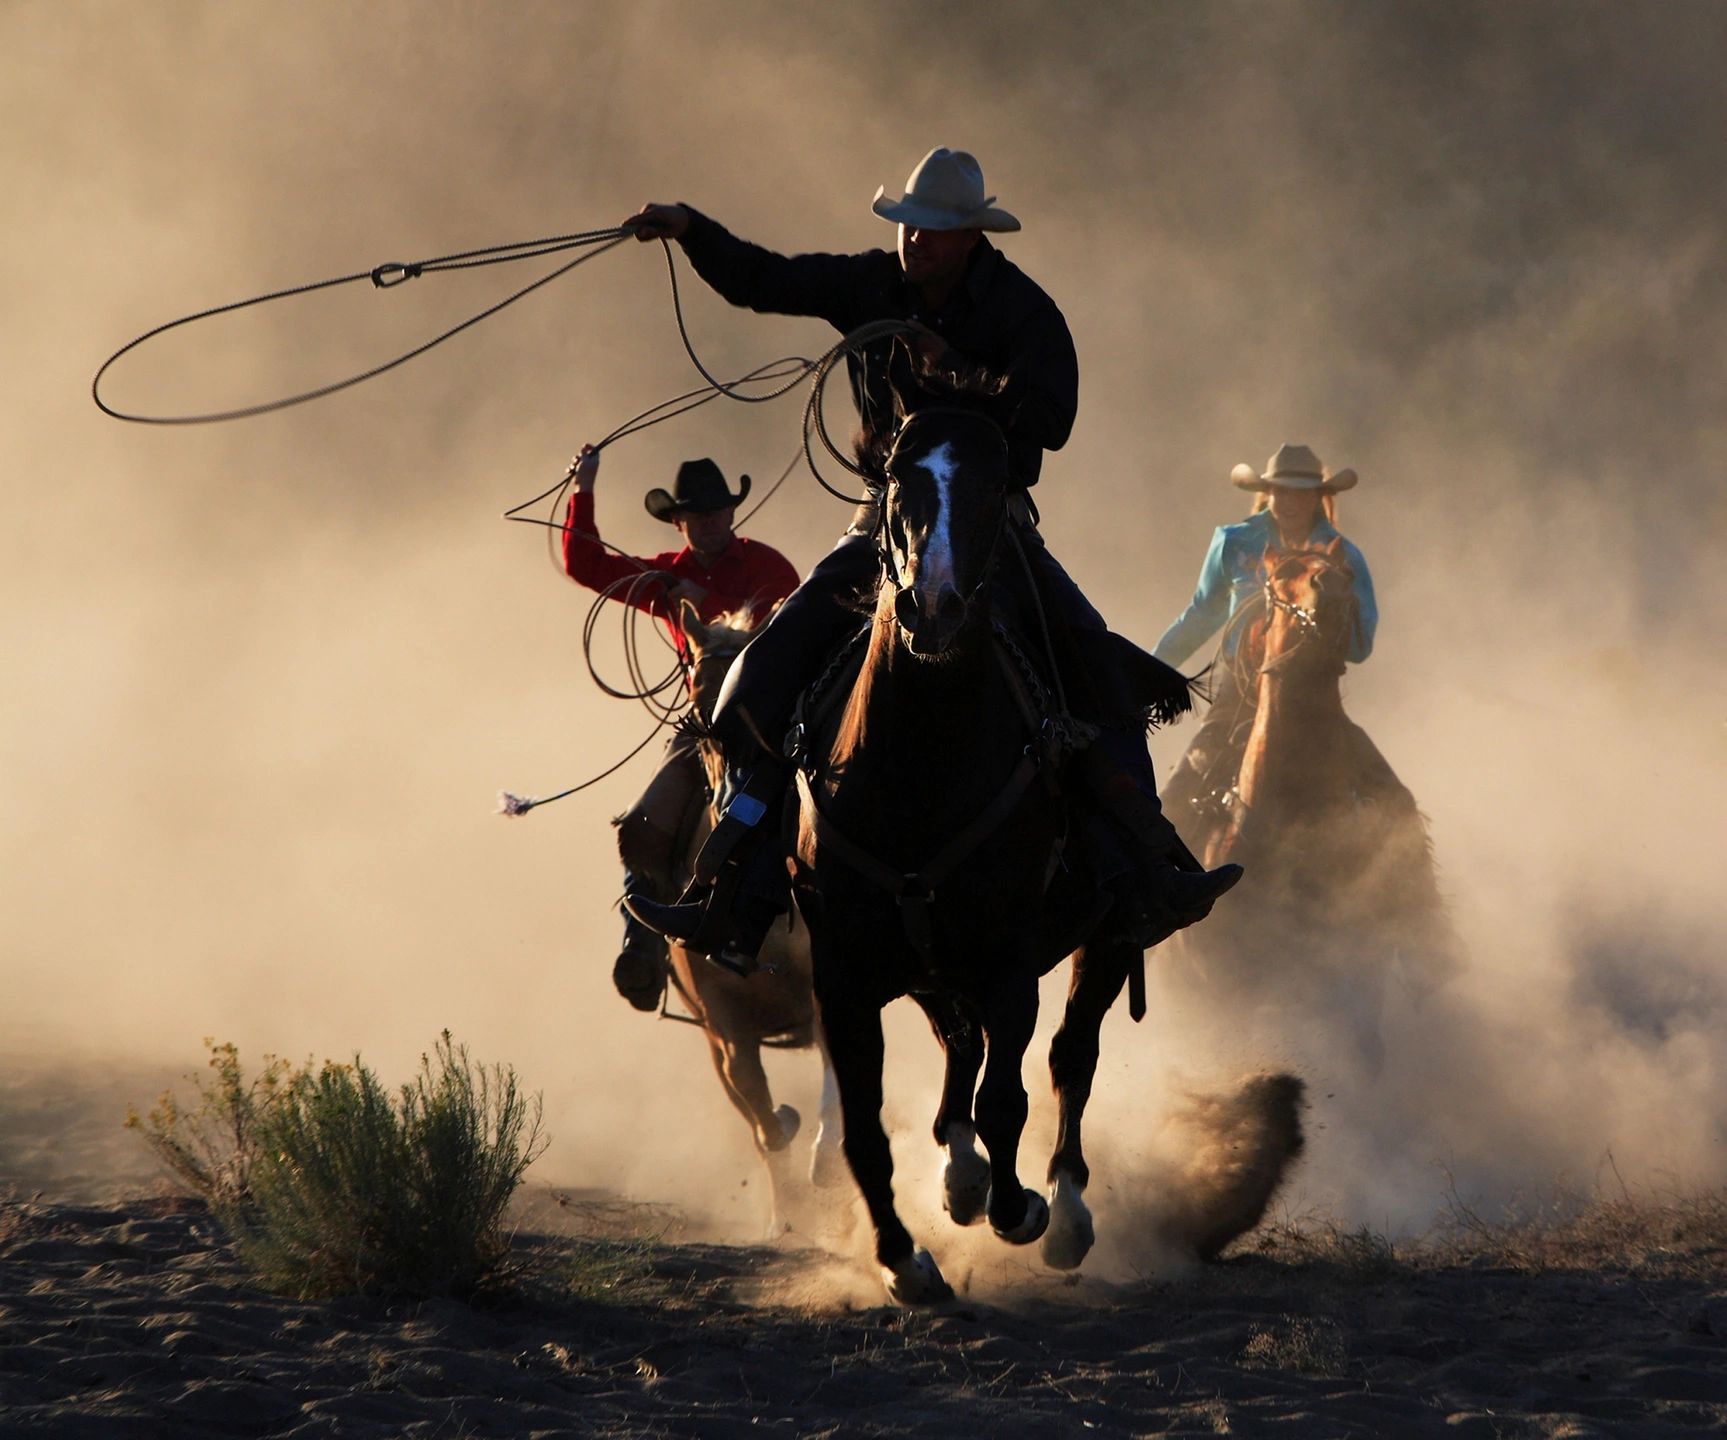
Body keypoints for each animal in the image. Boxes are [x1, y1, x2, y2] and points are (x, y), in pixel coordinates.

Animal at [790, 381, 1167, 1298]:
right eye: (899, 479)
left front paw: (1019, 1209)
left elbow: (1010, 1095)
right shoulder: (842, 974)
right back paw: (958, 1177)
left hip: (1105, 938)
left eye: (996, 487)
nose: (933, 608)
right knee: (958, 1046)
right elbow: (862, 1129)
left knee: (1069, 1057)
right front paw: (902, 1259)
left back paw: (1063, 1213)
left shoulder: (1007, 962)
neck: (917, 769)